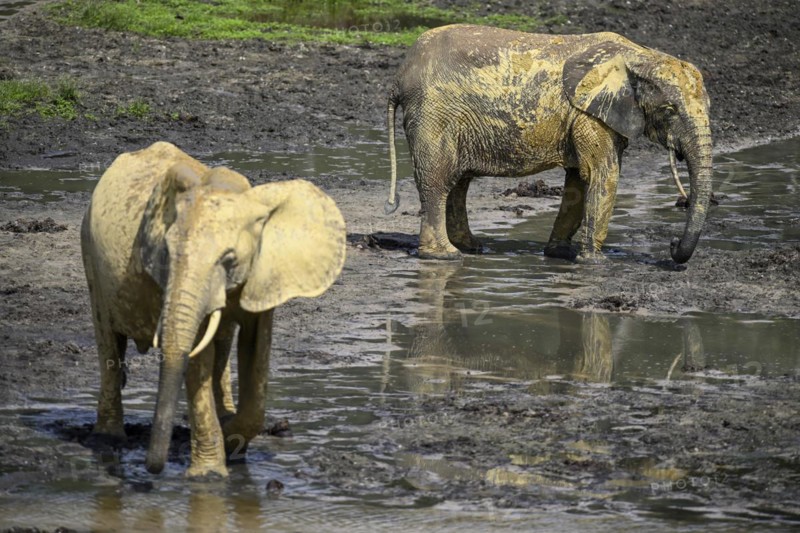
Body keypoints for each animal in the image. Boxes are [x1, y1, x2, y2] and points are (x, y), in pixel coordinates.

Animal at [80, 141, 346, 477]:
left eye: (229, 259)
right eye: (166, 253)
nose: (152, 468)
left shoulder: (263, 272)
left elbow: (255, 352)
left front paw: (232, 438)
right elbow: (197, 356)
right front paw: (209, 476)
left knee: (222, 344)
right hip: (89, 252)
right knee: (108, 342)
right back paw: (108, 439)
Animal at [385, 24, 712, 263]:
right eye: (670, 110)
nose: (672, 245)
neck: (639, 56)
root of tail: (398, 77)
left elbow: (579, 179)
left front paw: (560, 254)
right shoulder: (589, 113)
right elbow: (603, 174)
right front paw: (595, 263)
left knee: (458, 182)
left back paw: (472, 248)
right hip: (433, 112)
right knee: (438, 179)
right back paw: (445, 256)